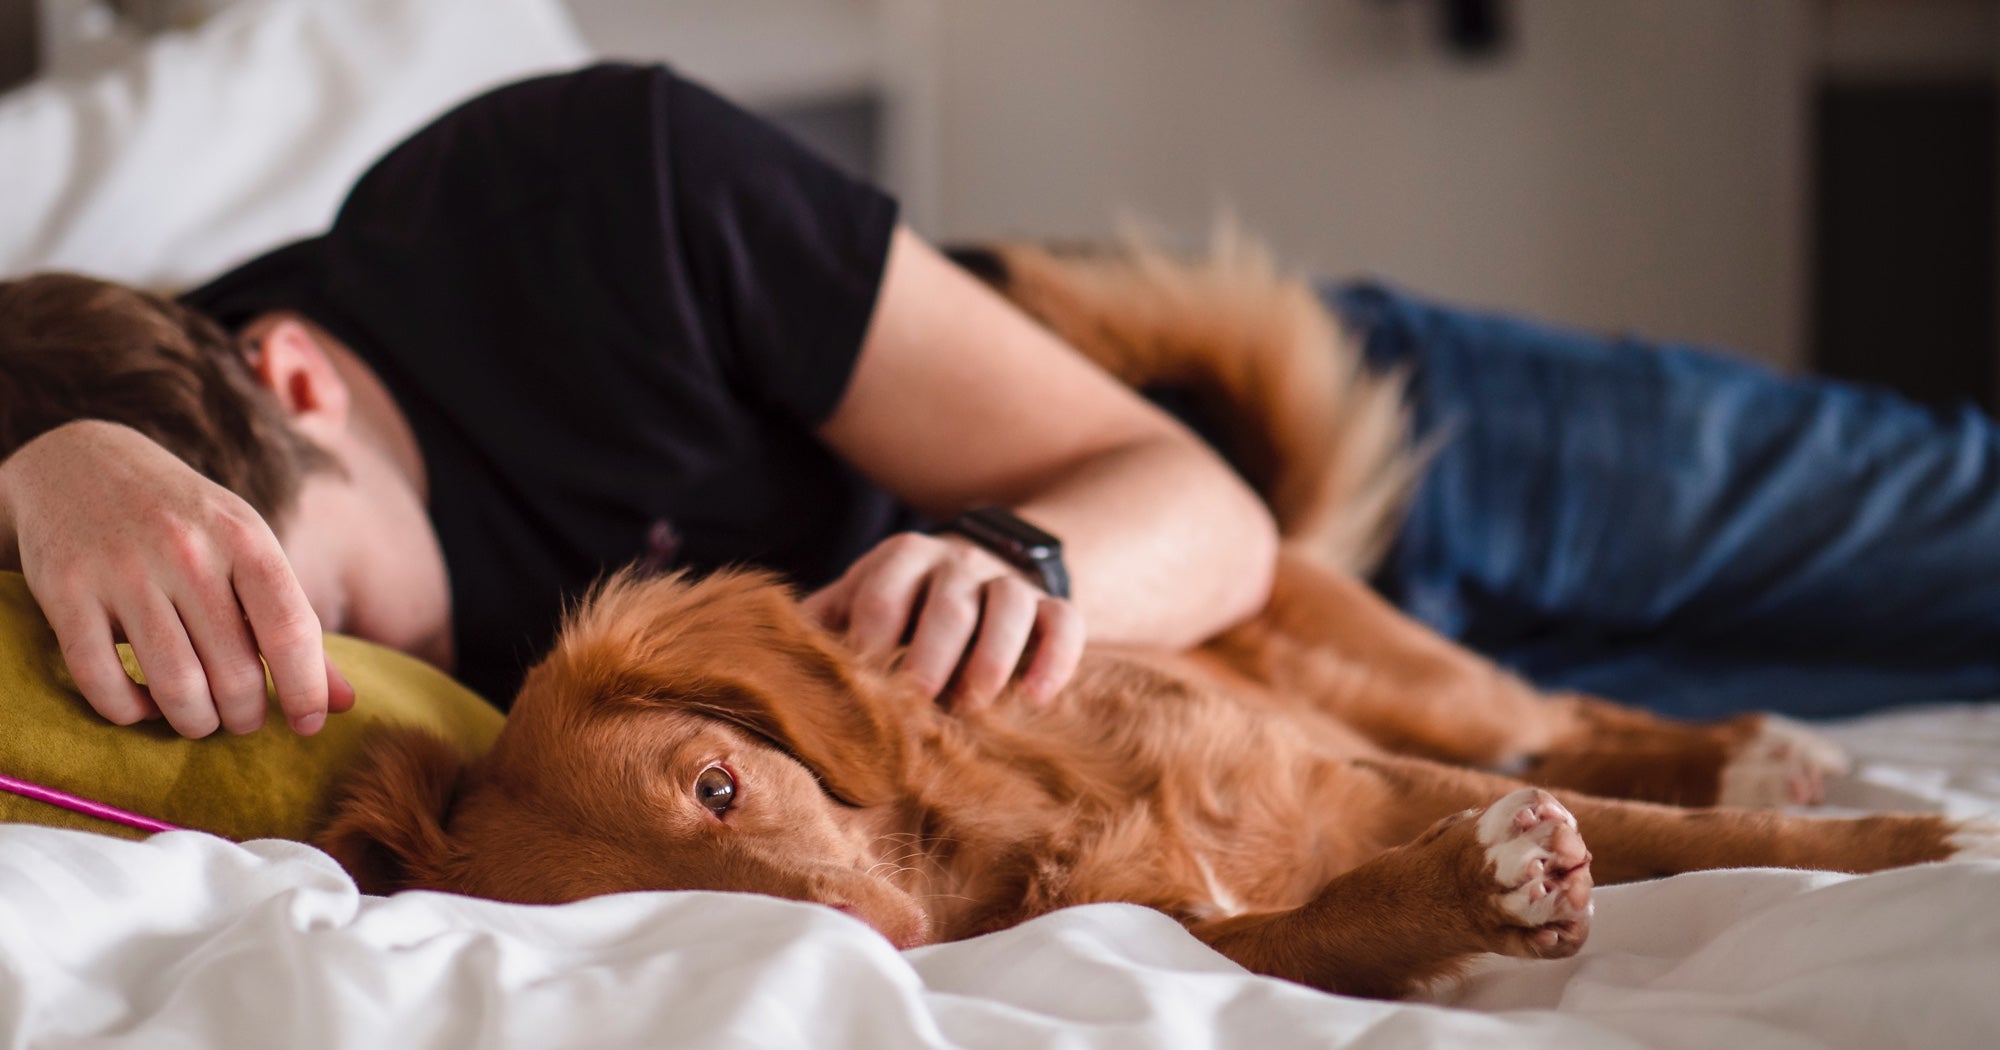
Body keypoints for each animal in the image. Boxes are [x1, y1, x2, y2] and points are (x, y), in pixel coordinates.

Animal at [316, 239, 2000, 1000]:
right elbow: (1334, 915)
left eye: (722, 784)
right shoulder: (1192, 928)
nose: (883, 941)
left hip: (1414, 680)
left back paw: (1753, 745)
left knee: (1567, 713)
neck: (1011, 823)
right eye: (651, 912)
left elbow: (1698, 838)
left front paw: (1921, 842)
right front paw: (1474, 892)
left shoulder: (1358, 769)